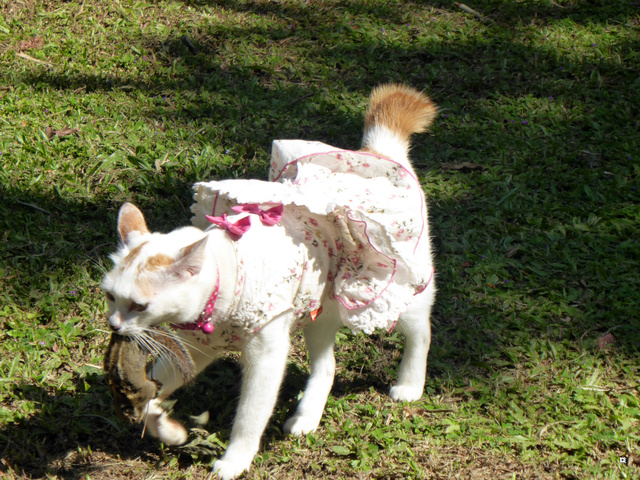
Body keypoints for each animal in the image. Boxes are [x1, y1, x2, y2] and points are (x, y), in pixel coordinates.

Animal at [101, 84, 440, 478]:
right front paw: (167, 429)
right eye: (109, 297)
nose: (113, 325)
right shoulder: (197, 350)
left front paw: (234, 461)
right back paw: (306, 417)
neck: (228, 275)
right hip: (319, 312)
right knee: (327, 367)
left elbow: (249, 418)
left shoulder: (266, 356)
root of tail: (377, 152)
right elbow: (153, 398)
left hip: (402, 291)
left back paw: (409, 384)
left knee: (421, 332)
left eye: (139, 305)